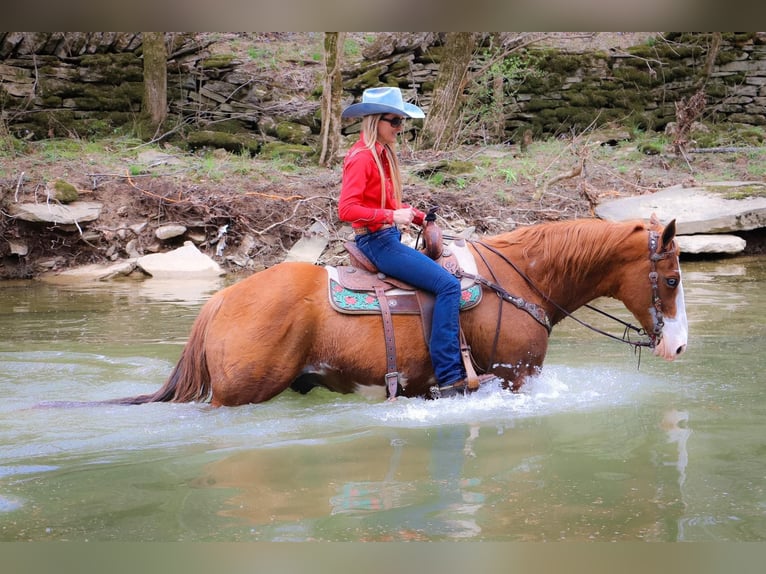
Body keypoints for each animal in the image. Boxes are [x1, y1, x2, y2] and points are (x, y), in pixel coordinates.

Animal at [112, 216, 688, 410]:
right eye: (672, 279)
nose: (678, 344)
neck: (519, 279)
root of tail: (221, 300)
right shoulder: (517, 377)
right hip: (238, 393)